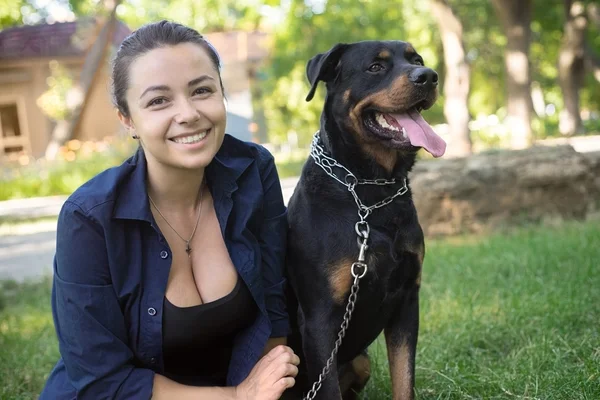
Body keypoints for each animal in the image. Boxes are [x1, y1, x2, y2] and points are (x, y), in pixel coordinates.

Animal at [284, 41, 446, 400]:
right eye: (375, 67)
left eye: (417, 59)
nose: (428, 76)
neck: (371, 192)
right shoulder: (319, 319)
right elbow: (328, 389)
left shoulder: (407, 300)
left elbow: (404, 378)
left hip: (361, 360)